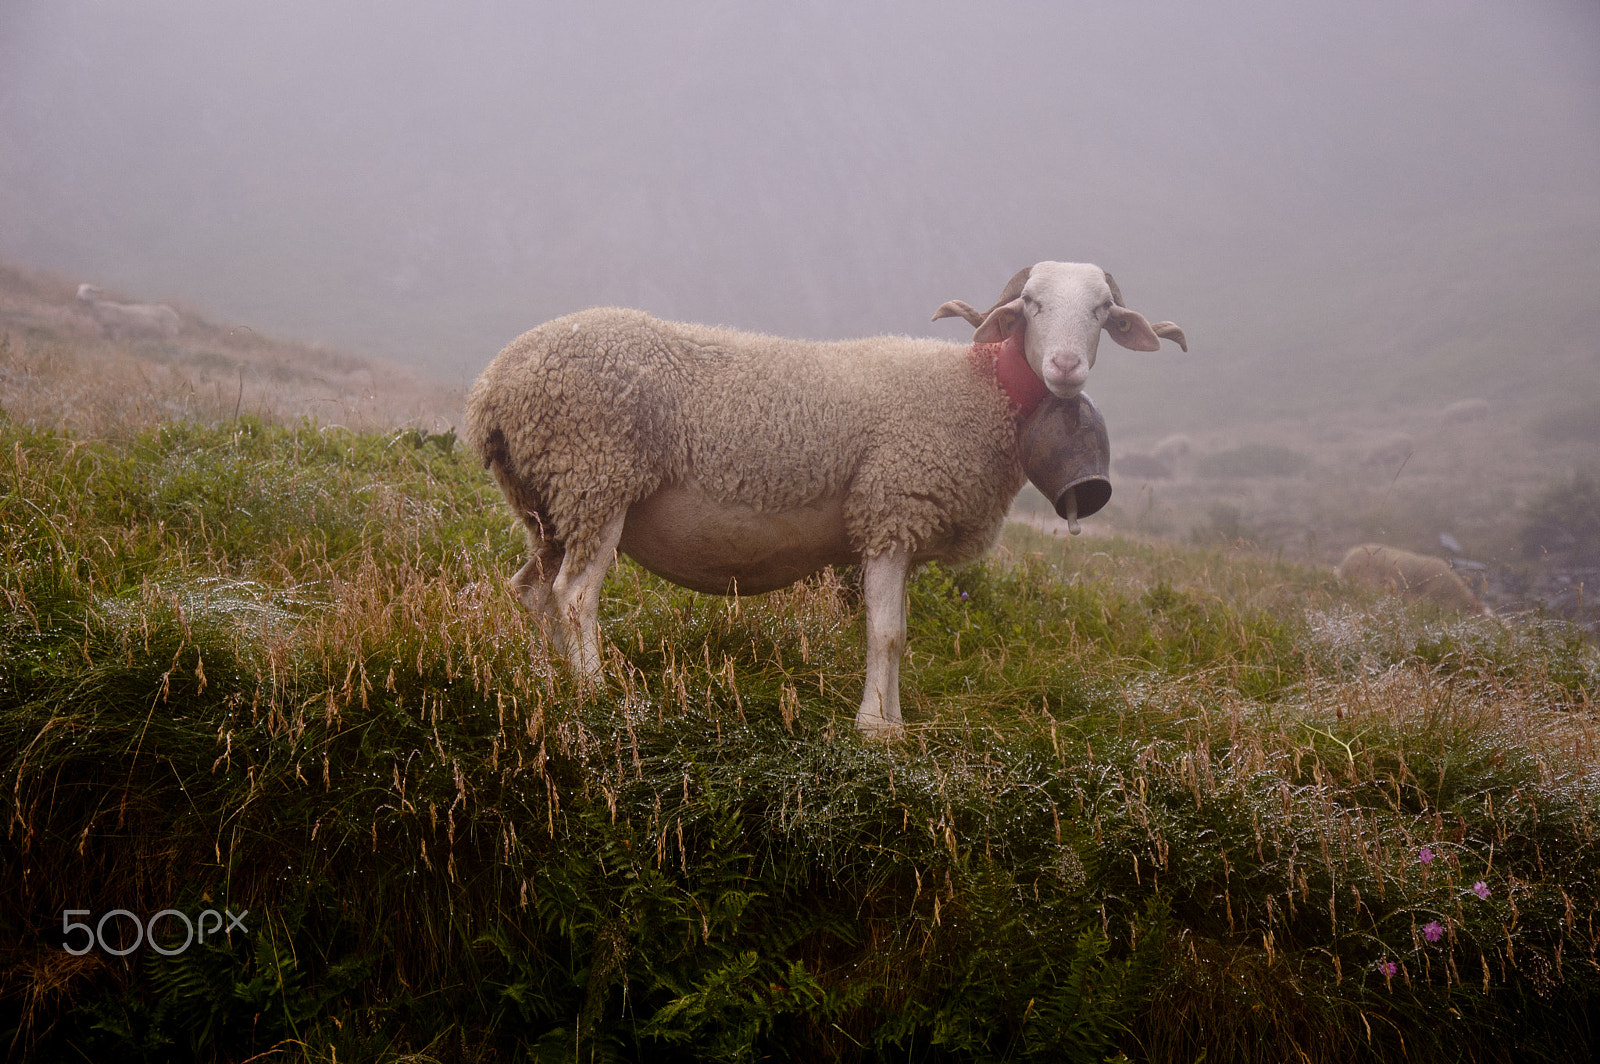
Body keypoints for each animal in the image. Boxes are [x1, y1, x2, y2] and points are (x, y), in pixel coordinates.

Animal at [466, 261, 1187, 735]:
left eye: (1102, 311)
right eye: (1031, 303)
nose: (1066, 366)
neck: (979, 390)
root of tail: (495, 384)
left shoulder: (902, 532)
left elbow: (898, 633)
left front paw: (894, 723)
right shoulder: (893, 510)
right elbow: (886, 632)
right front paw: (874, 727)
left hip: (547, 502)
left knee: (532, 590)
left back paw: (545, 681)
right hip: (597, 479)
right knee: (574, 596)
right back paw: (597, 694)